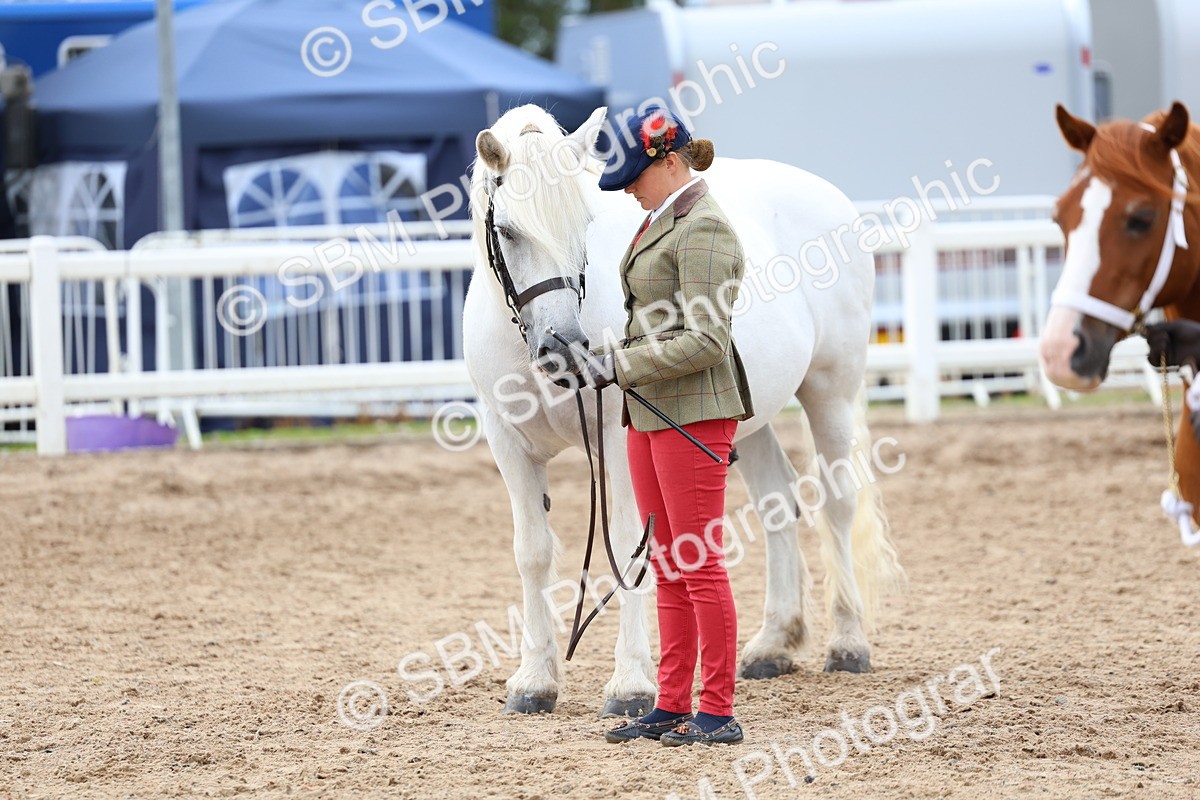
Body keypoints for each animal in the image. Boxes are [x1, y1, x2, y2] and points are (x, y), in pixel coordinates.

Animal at [462, 104, 904, 717]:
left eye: (584, 228)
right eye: (507, 231)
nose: (565, 348)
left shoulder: (617, 442)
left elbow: (627, 546)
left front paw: (631, 684)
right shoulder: (508, 444)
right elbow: (532, 552)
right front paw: (533, 681)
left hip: (830, 391)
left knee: (837, 503)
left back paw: (848, 644)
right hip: (747, 415)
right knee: (776, 500)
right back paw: (772, 645)